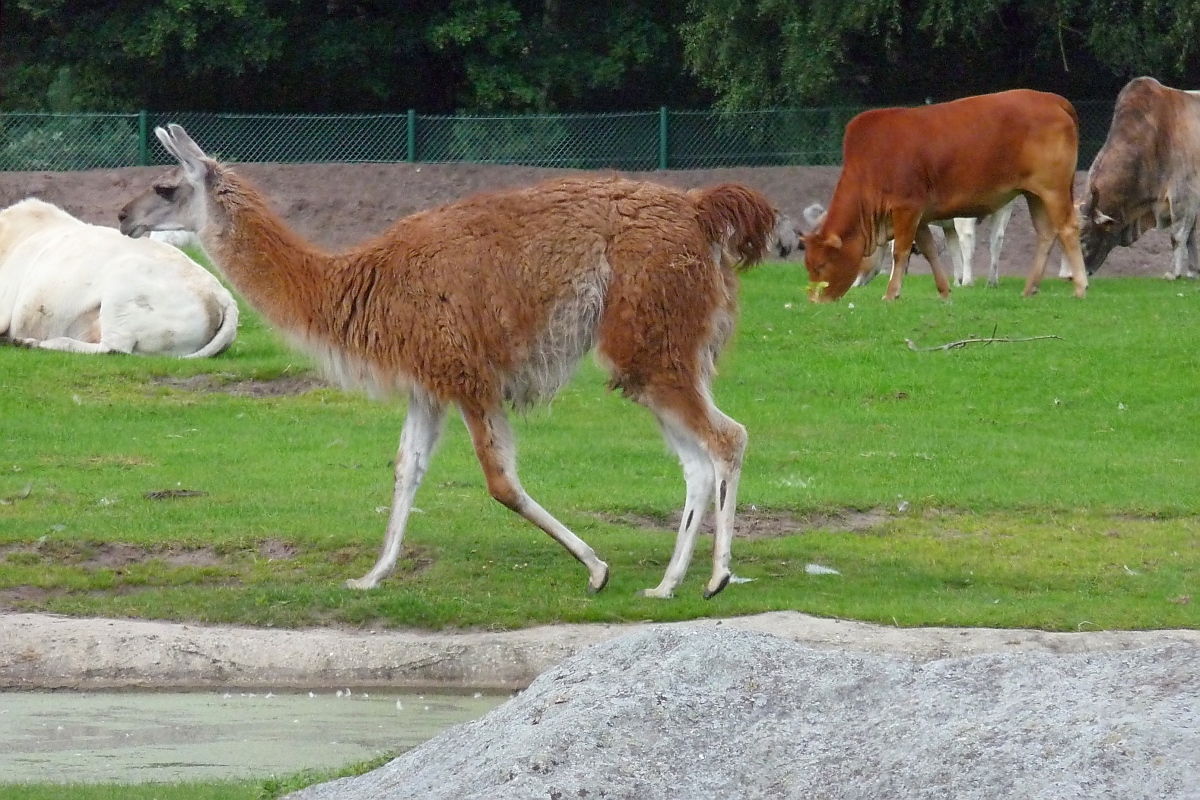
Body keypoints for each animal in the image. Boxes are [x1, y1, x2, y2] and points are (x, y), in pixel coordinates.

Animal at [806, 89, 1089, 303]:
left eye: (821, 266)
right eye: (808, 266)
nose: (814, 301)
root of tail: (1052, 99)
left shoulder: (906, 208)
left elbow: (901, 252)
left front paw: (891, 293)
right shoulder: (919, 216)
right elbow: (930, 250)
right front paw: (944, 291)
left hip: (1053, 190)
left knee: (1068, 229)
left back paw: (1080, 286)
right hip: (1035, 194)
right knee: (1046, 234)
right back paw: (1030, 288)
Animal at [1075, 77, 1200, 278]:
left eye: (1084, 236)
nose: (1070, 276)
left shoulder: (1184, 194)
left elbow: (1178, 236)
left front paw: (1173, 274)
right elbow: (1190, 237)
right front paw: (1192, 273)